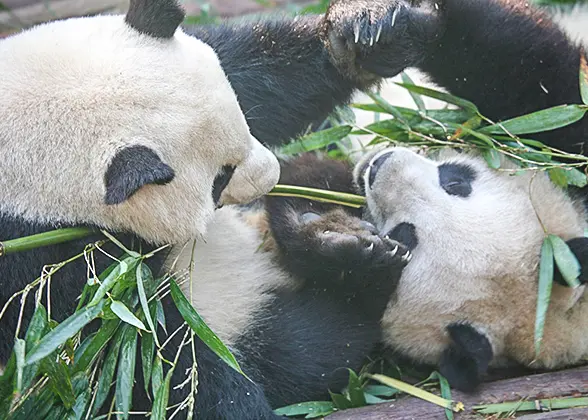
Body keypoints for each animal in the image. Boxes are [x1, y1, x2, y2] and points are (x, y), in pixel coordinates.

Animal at [0, 0, 422, 420]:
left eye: (242, 118)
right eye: (221, 177)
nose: (273, 175)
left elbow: (268, 76)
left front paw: (364, 34)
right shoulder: (41, 263)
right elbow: (141, 347)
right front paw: (237, 404)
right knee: (307, 344)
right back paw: (346, 257)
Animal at [268, 0, 588, 394]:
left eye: (404, 236)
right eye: (457, 183)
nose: (380, 166)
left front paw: (331, 239)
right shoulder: (570, 145)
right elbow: (527, 74)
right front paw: (387, 25)